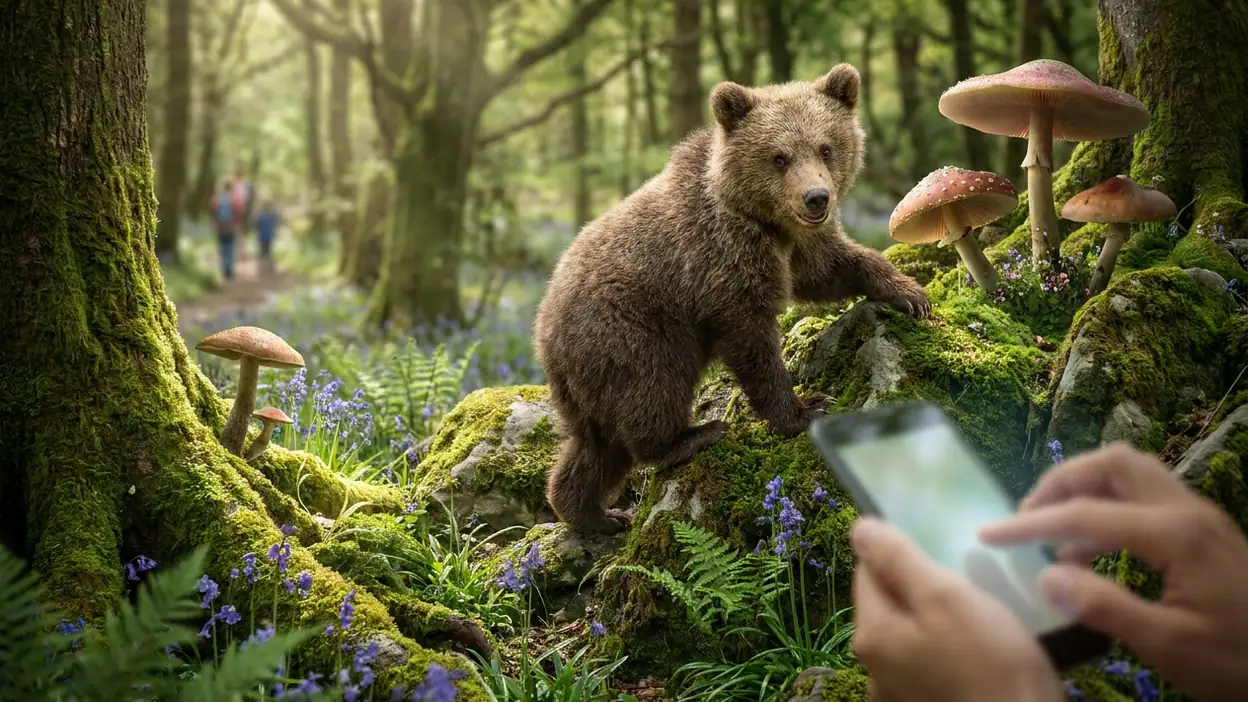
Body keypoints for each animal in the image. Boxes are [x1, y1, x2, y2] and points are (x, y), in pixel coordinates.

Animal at [533, 63, 931, 535]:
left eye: (826, 148)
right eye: (779, 157)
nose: (817, 198)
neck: (764, 220)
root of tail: (543, 330)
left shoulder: (796, 245)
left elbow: (832, 265)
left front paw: (909, 293)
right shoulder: (720, 258)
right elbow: (752, 339)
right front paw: (806, 407)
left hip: (587, 382)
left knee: (595, 444)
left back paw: (595, 512)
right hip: (631, 332)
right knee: (653, 390)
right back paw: (691, 437)